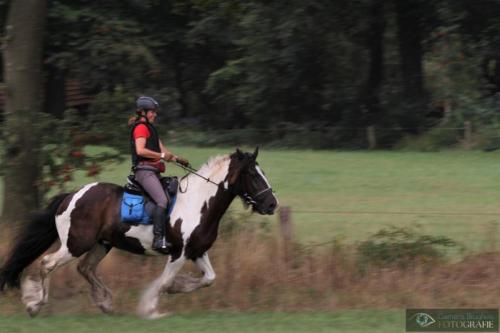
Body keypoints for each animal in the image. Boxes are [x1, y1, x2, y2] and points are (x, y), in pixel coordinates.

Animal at [0, 147, 278, 316]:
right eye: (253, 174)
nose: (271, 204)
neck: (200, 202)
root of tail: (70, 196)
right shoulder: (178, 253)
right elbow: (164, 281)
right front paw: (151, 309)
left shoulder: (197, 251)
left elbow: (209, 278)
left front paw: (179, 287)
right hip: (75, 244)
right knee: (48, 263)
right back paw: (35, 304)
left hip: (102, 244)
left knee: (85, 268)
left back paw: (105, 303)